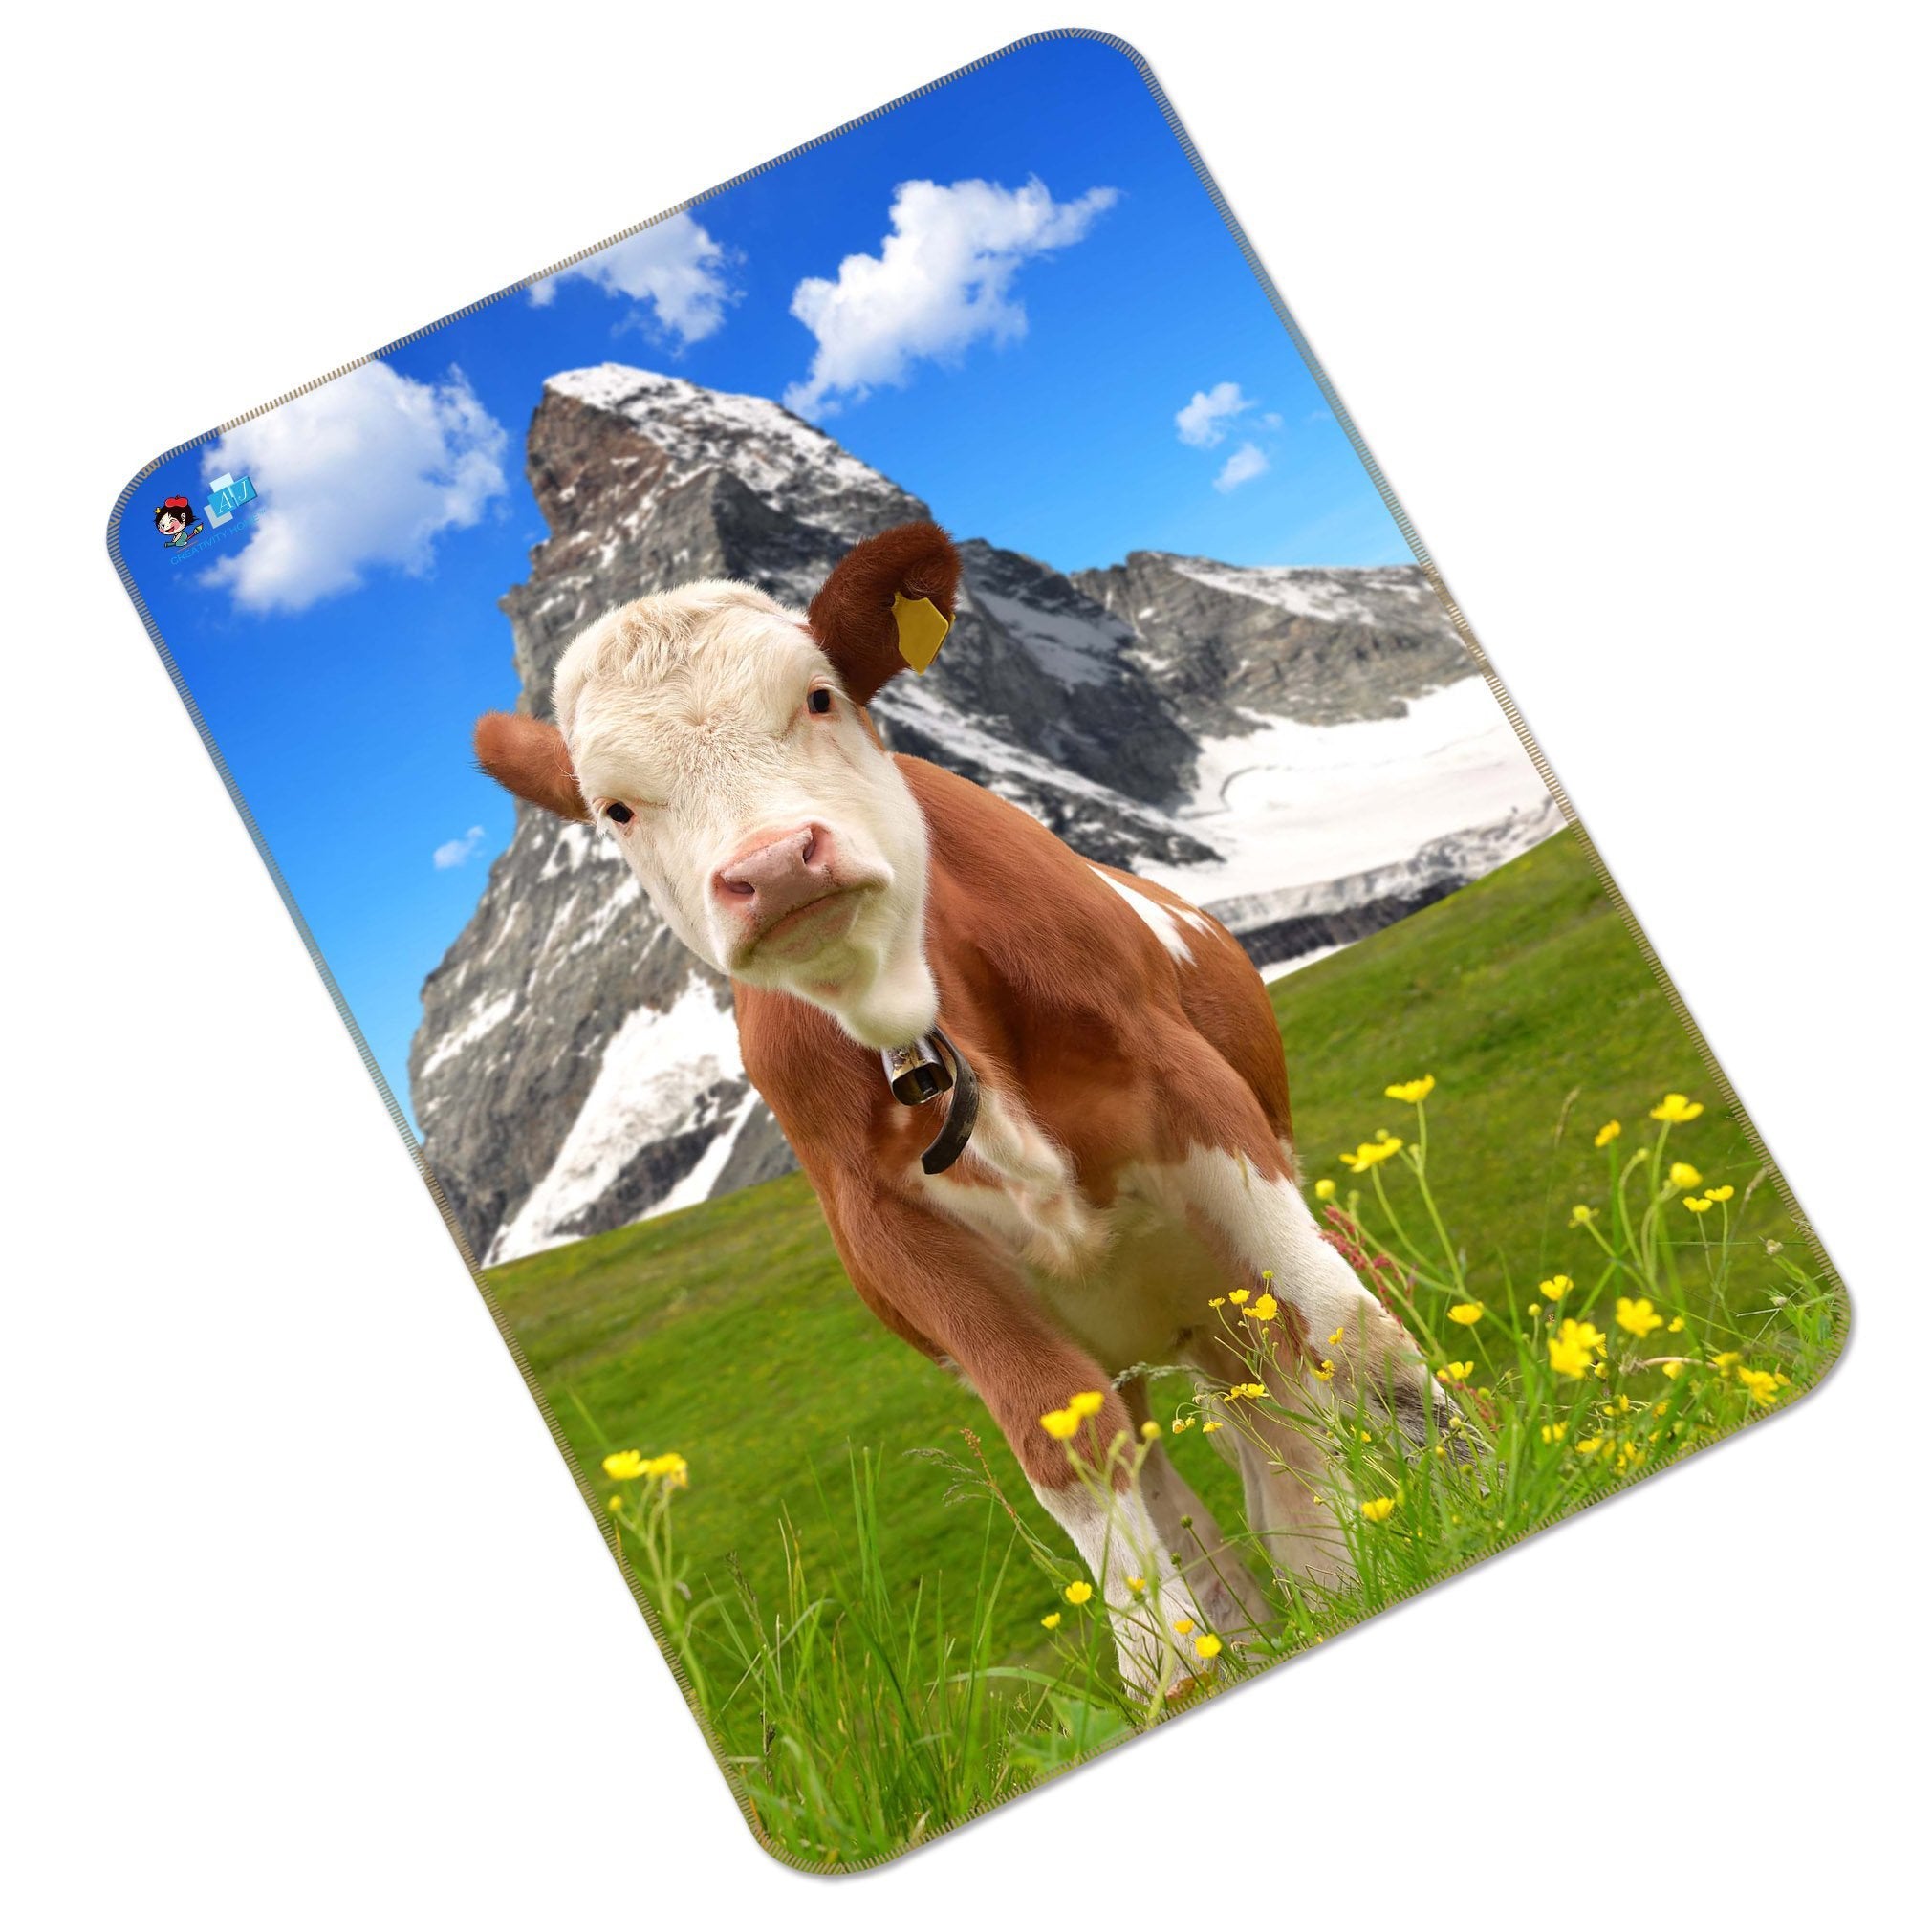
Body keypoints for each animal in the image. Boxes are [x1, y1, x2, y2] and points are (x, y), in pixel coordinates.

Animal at [474, 522, 1439, 1694]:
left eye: (819, 697)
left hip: (1216, 1281)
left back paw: (1338, 1572)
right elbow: (1071, 1461)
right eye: (614, 808)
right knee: (1193, 1471)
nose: (771, 866)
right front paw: (1170, 1678)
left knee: (1283, 1405)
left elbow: (1352, 1330)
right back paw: (1277, 1617)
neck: (923, 1016)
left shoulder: (1193, 1097)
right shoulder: (903, 1243)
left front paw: (1474, 1490)